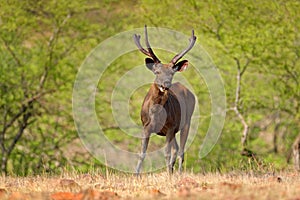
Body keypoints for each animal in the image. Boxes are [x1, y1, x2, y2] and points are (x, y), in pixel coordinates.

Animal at [134, 25, 197, 174]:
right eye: (157, 72)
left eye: (172, 73)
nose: (166, 84)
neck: (156, 114)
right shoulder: (146, 126)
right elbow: (142, 153)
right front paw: (136, 175)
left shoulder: (169, 127)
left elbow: (166, 154)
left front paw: (169, 174)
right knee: (176, 149)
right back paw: (173, 171)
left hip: (186, 122)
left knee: (180, 151)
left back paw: (178, 173)